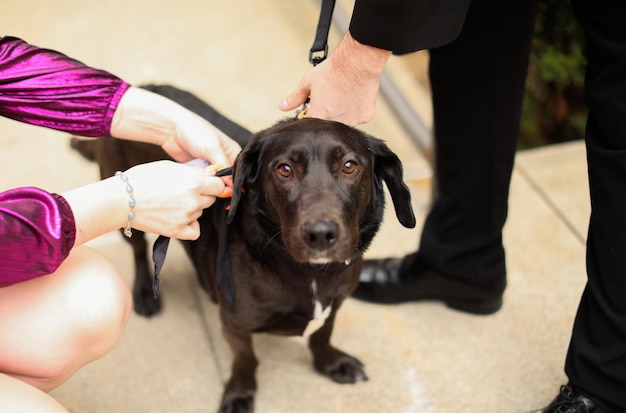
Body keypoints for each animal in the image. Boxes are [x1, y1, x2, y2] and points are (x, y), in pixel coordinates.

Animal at [70, 84, 412, 412]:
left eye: (349, 166)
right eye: (284, 169)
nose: (320, 234)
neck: (308, 273)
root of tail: (142, 87)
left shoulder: (335, 304)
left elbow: (321, 335)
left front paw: (330, 362)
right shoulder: (235, 324)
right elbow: (247, 360)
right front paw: (240, 393)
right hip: (132, 212)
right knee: (140, 250)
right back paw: (143, 291)